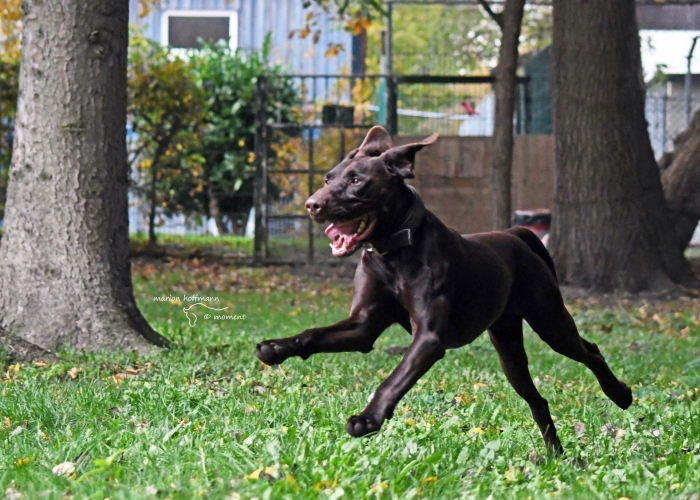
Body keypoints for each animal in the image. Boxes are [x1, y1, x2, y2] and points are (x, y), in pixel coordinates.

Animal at [258, 126, 636, 454]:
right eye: (328, 178)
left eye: (356, 180)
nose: (311, 204)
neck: (394, 252)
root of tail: (514, 233)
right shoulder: (363, 325)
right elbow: (312, 334)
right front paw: (276, 348)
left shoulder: (428, 338)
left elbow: (393, 380)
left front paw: (368, 419)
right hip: (510, 351)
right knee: (538, 401)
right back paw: (556, 455)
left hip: (551, 322)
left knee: (590, 350)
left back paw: (620, 393)